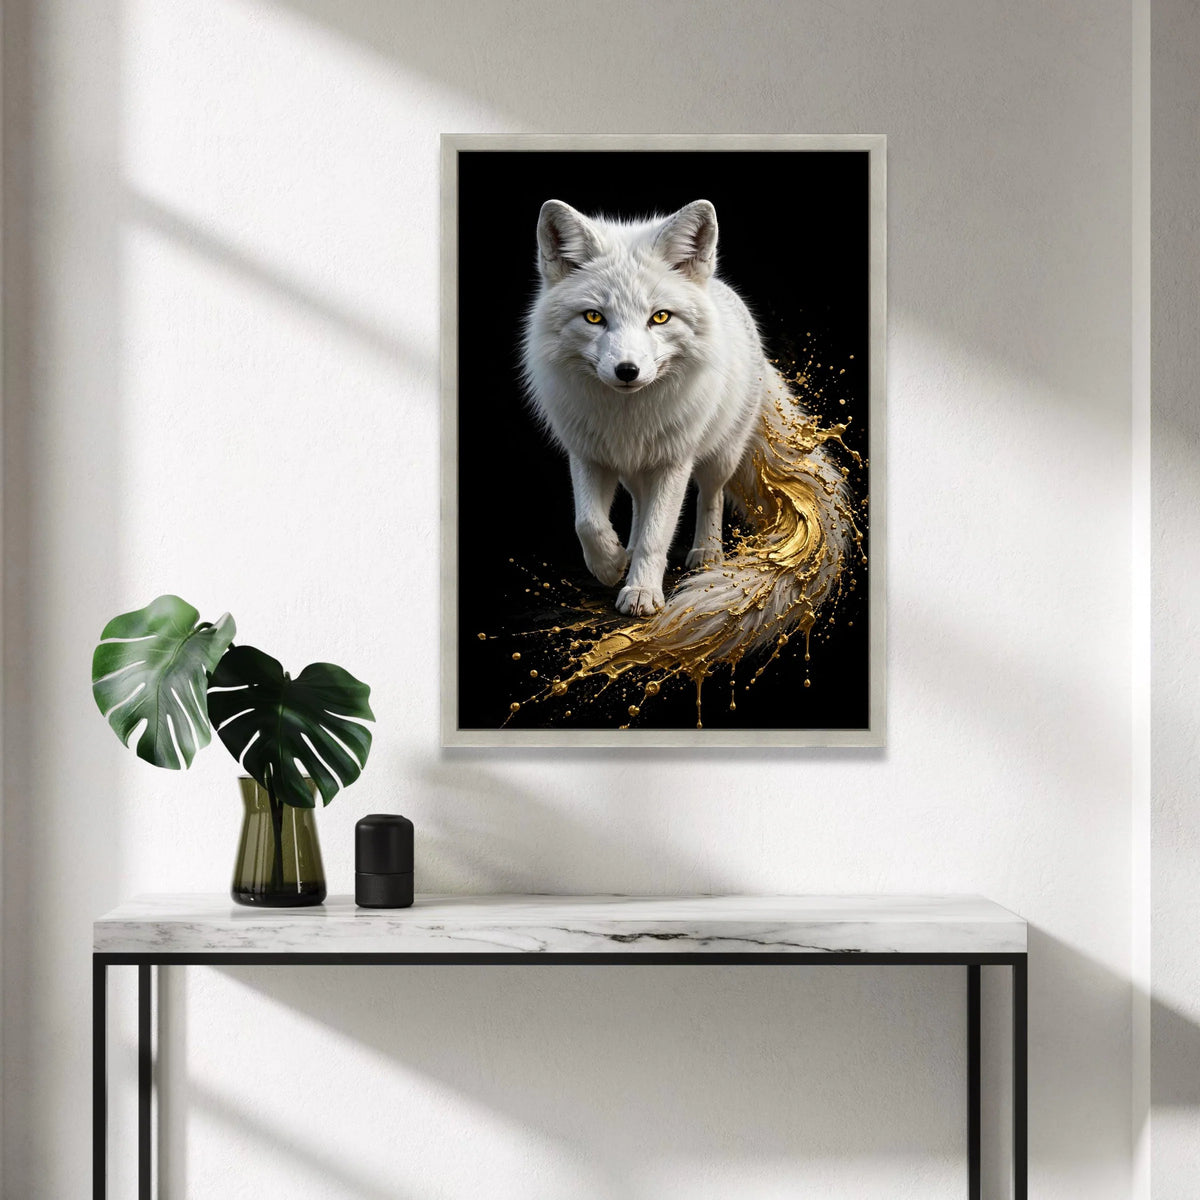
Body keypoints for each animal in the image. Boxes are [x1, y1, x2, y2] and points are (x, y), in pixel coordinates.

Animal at [520, 198, 850, 668]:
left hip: (718, 455)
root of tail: (722, 289)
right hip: (635, 473)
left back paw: (706, 551)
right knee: (639, 508)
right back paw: (627, 549)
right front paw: (610, 565)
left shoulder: (673, 462)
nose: (627, 371)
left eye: (659, 317)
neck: (628, 418)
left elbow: (659, 533)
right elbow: (588, 522)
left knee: (710, 496)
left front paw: (641, 592)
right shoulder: (588, 454)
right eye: (594, 317)